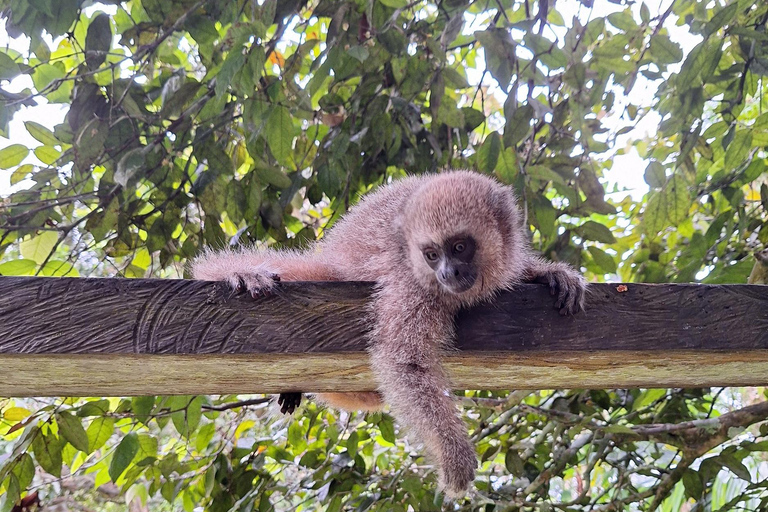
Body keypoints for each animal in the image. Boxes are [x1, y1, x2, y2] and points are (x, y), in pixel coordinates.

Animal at [191, 169, 587, 497]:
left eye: (459, 247)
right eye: (431, 254)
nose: (448, 273)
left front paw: (551, 273)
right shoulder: (413, 285)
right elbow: (404, 361)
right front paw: (453, 453)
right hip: (329, 272)